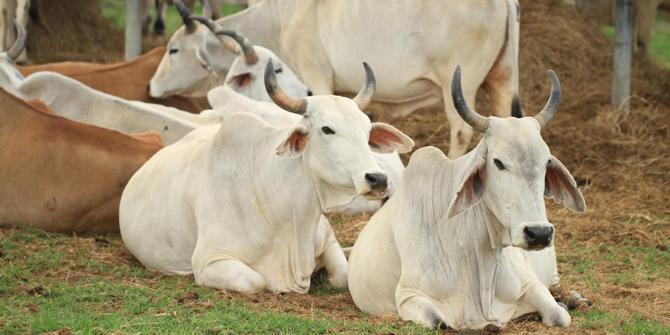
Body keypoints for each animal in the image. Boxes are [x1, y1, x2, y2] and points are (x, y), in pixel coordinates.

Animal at [121, 60, 414, 294]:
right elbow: (257, 281)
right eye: (327, 129)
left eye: (367, 131)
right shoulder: (209, 261)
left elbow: (342, 275)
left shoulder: (328, 239)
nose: (378, 179)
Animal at [150, 0, 524, 159]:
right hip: (502, 77)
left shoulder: (316, 75)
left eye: (173, 49)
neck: (281, 18)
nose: (151, 87)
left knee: (461, 130)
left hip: (458, 84)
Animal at [350, 67, 584, 332]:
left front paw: (562, 305)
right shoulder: (410, 296)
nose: (539, 233)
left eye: (546, 162)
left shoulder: (531, 284)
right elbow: (439, 322)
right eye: (498, 162)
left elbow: (559, 316)